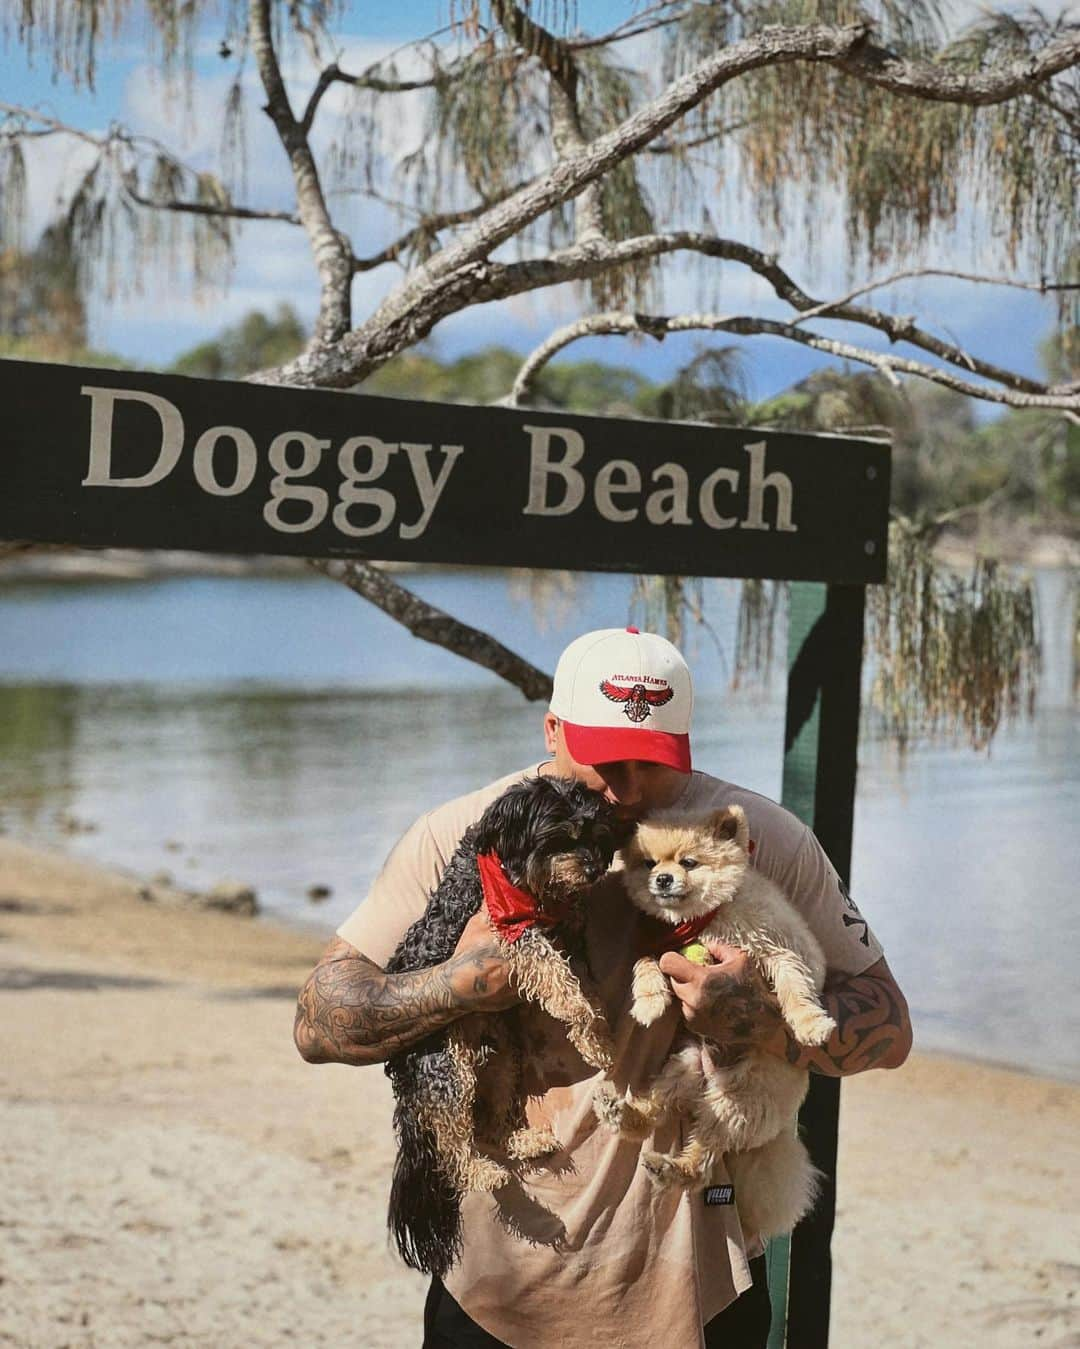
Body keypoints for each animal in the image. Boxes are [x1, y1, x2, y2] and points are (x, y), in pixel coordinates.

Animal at [385, 777, 622, 1278]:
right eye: (560, 836)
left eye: (597, 837)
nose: (593, 869)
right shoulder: (513, 930)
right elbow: (557, 976)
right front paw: (581, 1017)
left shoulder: (570, 933)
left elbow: (587, 987)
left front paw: (596, 1035)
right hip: (446, 1071)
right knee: (452, 1145)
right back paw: (480, 1170)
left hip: (501, 1060)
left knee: (489, 1128)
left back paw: (524, 1140)